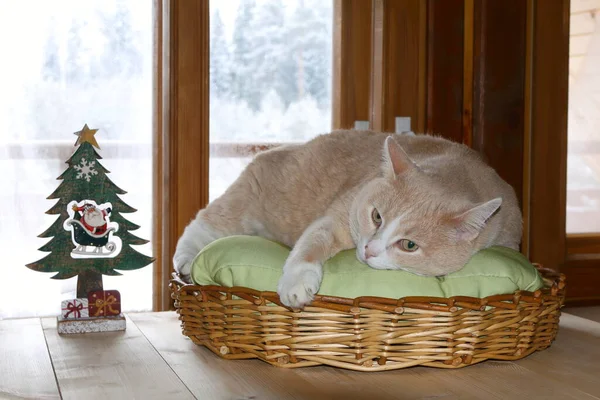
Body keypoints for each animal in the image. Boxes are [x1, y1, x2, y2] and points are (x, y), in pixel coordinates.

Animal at [172, 131, 520, 310]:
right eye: (376, 216)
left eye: (409, 245)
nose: (368, 250)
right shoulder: (339, 217)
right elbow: (310, 246)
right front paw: (297, 283)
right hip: (248, 200)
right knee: (205, 221)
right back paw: (187, 259)